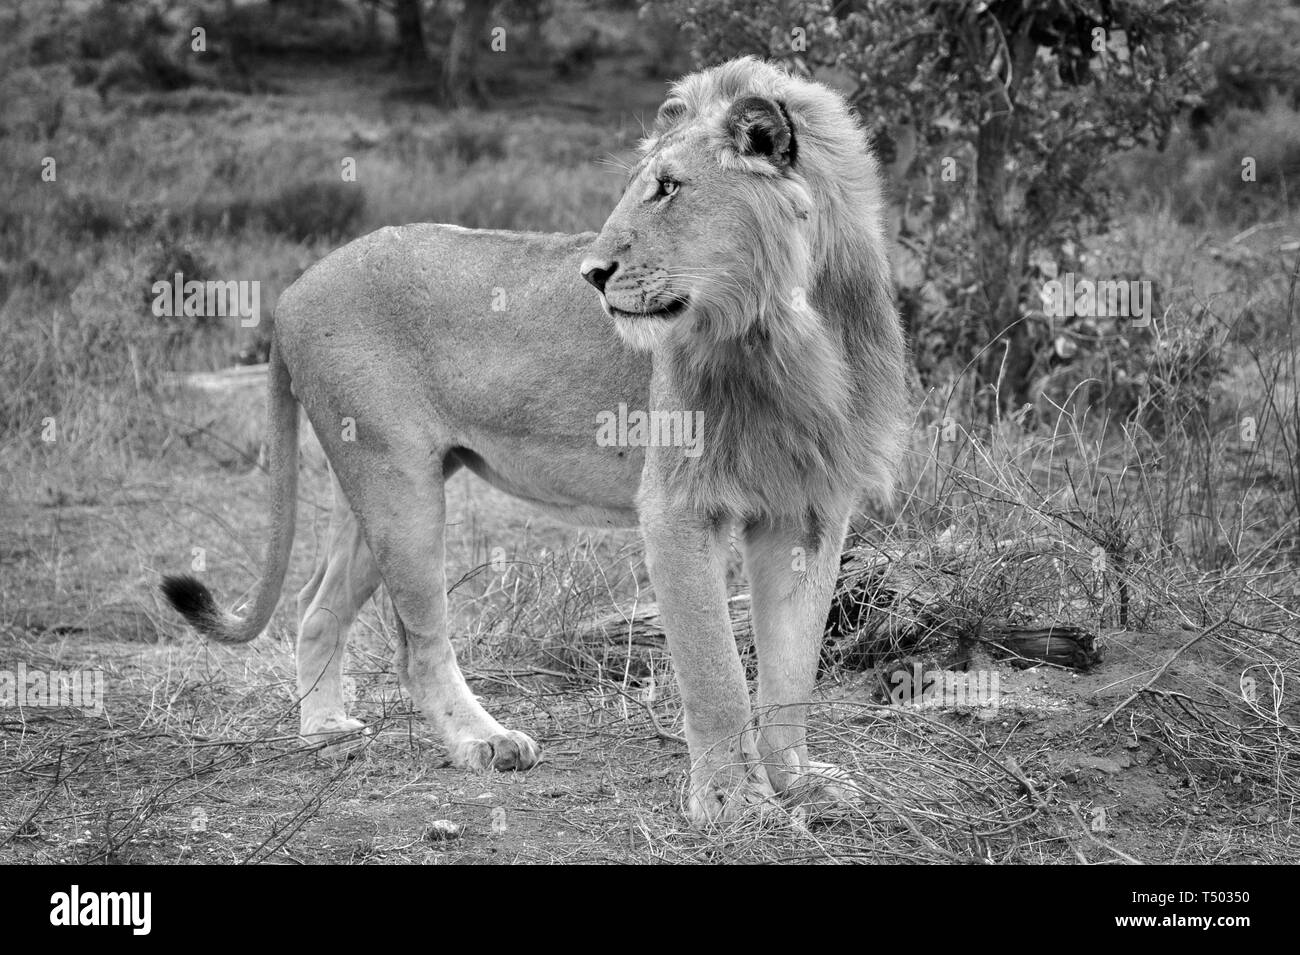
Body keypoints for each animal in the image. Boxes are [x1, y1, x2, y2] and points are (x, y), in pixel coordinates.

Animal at [162, 55, 909, 826]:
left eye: (669, 188)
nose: (593, 274)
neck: (793, 327)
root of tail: (291, 289)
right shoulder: (677, 503)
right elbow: (717, 672)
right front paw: (732, 804)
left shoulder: (810, 507)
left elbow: (793, 670)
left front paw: (799, 783)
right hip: (397, 484)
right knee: (417, 644)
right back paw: (483, 743)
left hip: (370, 484)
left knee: (317, 605)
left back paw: (324, 730)